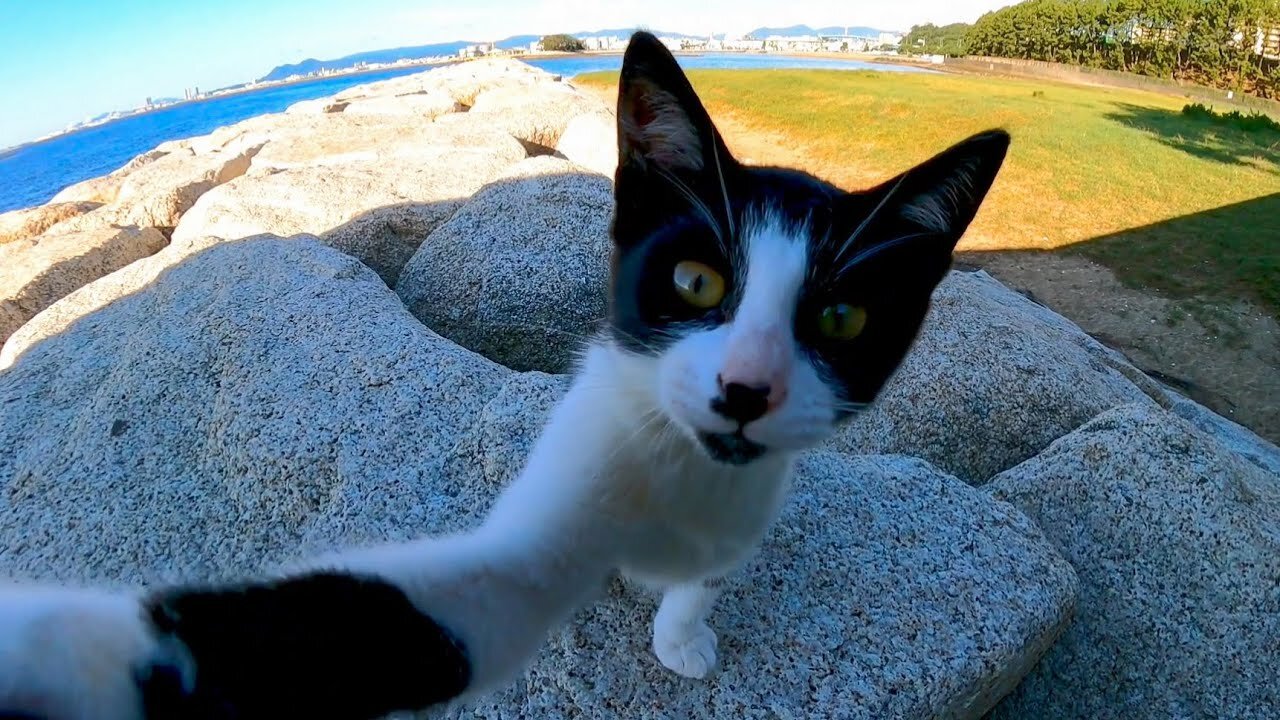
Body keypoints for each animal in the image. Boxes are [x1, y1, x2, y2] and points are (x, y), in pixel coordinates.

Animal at [0, 32, 1003, 717]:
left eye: (841, 319)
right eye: (695, 281)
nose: (746, 392)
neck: (682, 469)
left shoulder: (749, 506)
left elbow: (707, 576)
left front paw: (683, 633)